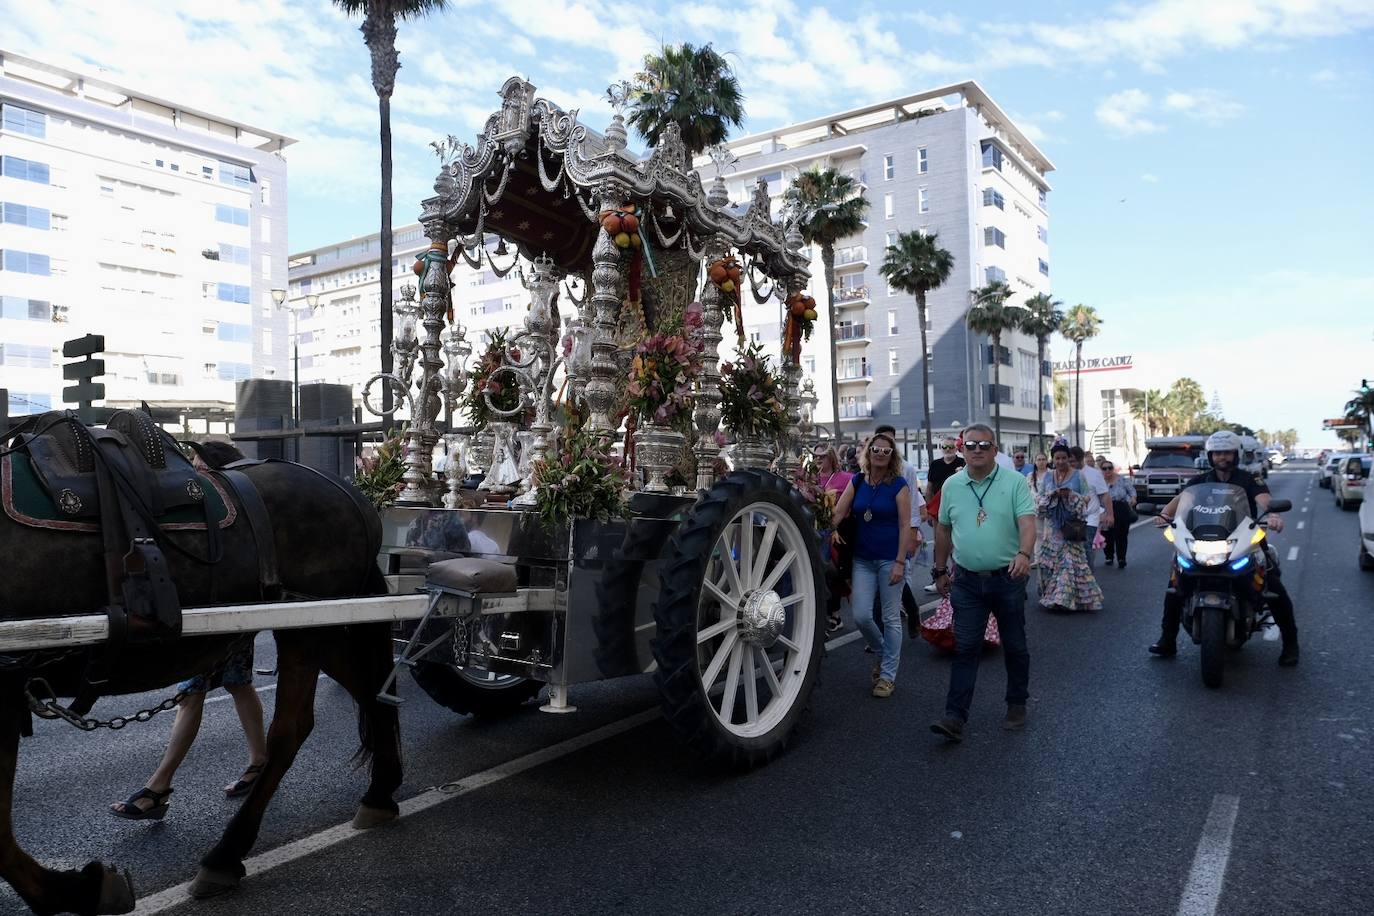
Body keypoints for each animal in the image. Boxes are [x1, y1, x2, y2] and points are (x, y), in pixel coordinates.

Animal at [0, 420, 401, 911]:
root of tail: (350, 494)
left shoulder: (4, 682)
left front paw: (80, 888)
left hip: (305, 627)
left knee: (291, 728)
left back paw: (225, 854)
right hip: (318, 624)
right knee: (368, 688)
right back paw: (381, 790)